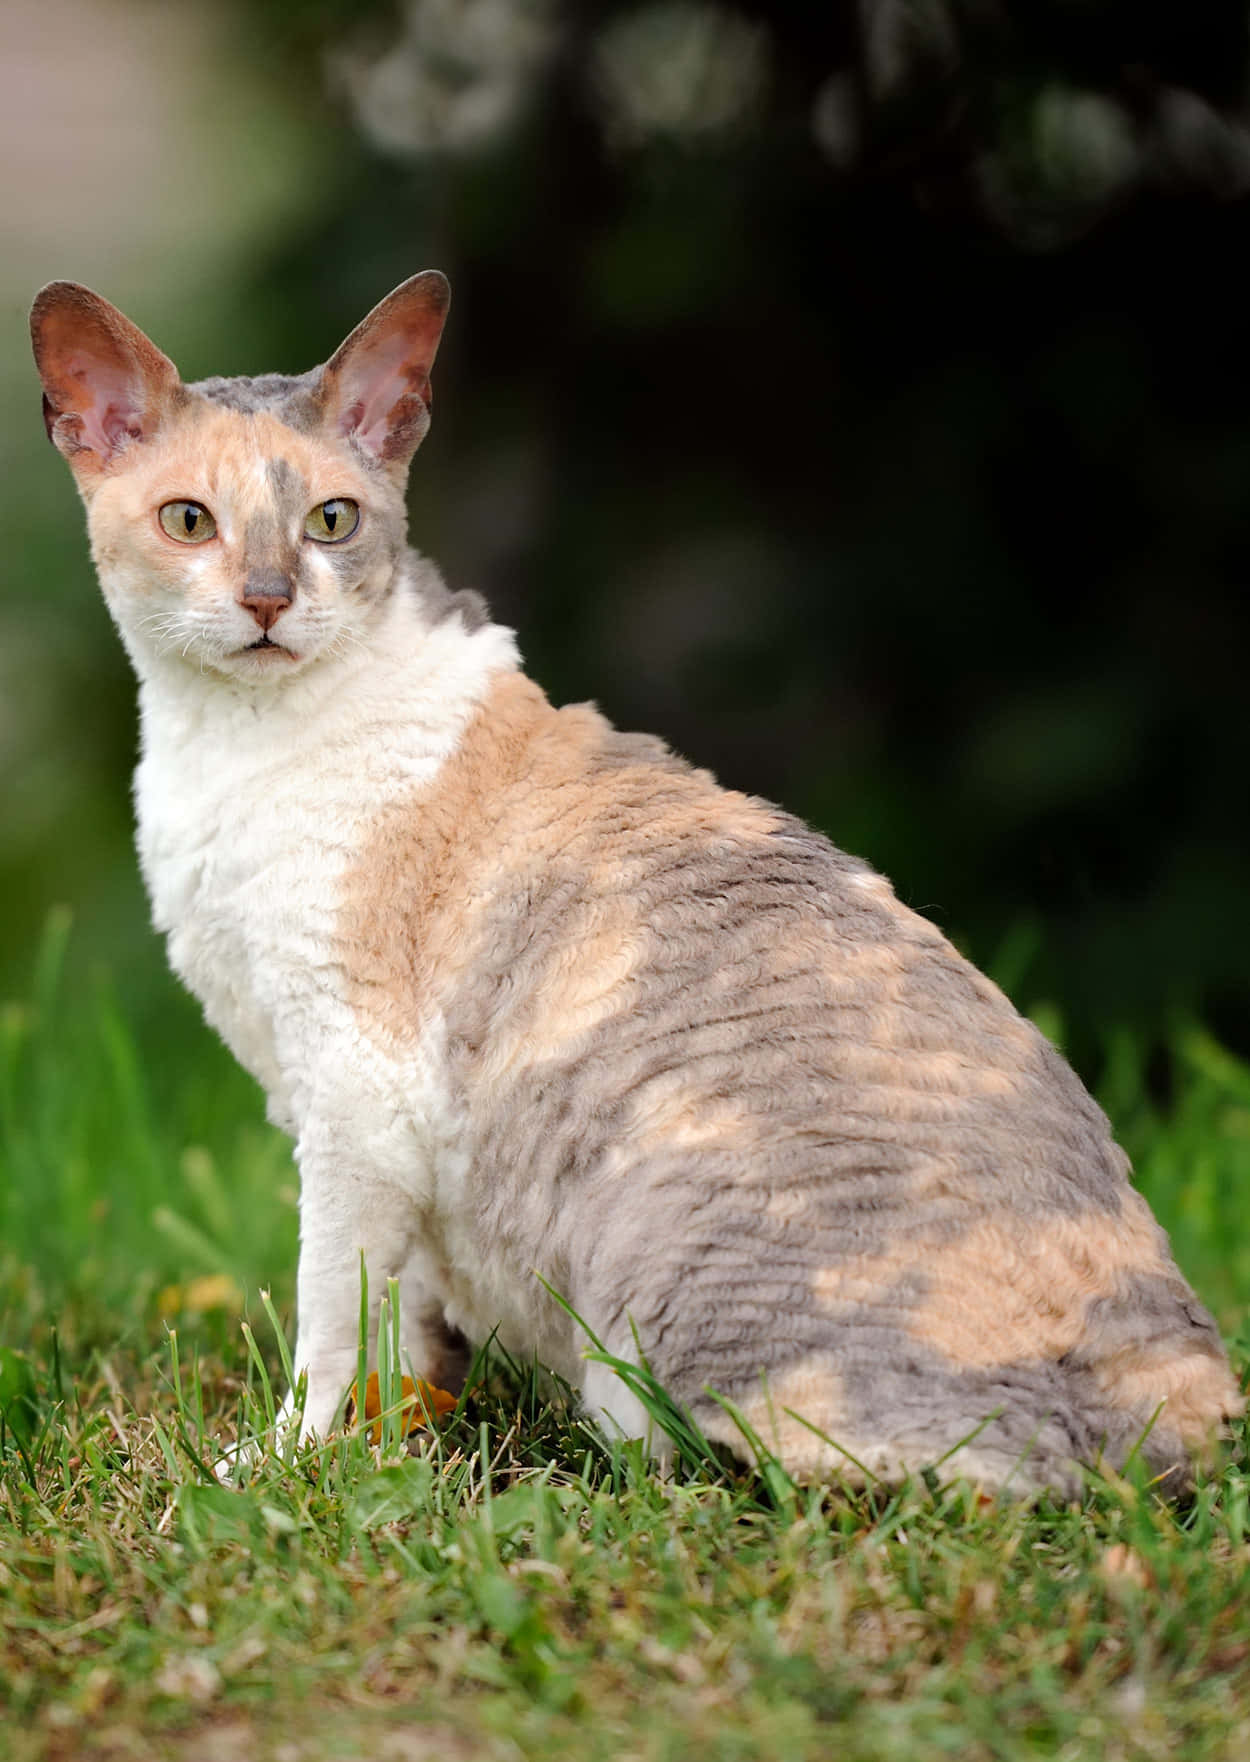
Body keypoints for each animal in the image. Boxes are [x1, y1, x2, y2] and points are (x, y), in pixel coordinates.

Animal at [29, 271, 1241, 1487]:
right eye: (190, 520)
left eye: (332, 521)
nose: (270, 597)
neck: (220, 748)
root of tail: (1179, 1398)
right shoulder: (344, 1112)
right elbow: (403, 1318)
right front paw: (399, 1429)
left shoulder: (351, 1092)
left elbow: (333, 1310)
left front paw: (292, 1461)